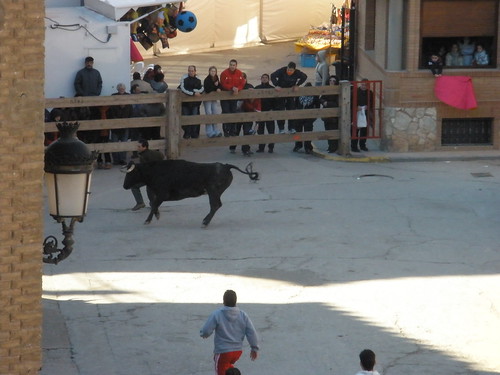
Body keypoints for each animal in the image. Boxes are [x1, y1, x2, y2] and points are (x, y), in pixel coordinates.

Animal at [123, 159, 260, 226]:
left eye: (130, 173)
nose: (124, 186)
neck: (155, 171)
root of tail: (226, 166)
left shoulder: (163, 194)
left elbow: (154, 204)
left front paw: (148, 220)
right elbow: (153, 204)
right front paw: (156, 216)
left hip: (213, 191)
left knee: (215, 205)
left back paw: (205, 222)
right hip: (215, 192)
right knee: (217, 205)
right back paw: (205, 220)